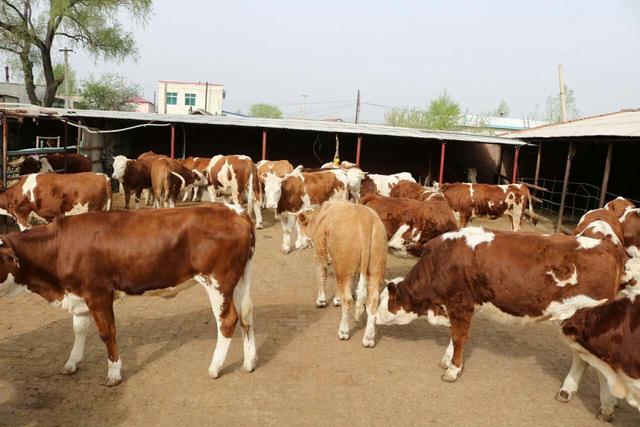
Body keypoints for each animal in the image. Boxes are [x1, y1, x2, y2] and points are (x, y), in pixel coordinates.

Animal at [0, 202, 258, 386]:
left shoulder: (98, 293)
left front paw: (114, 373)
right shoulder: (78, 294)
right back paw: (249, 362)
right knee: (246, 316)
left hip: (217, 281)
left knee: (227, 320)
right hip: (240, 279)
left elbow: (107, 333)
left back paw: (215, 367)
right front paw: (72, 362)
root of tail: (235, 211)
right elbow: (78, 329)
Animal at [298, 201, 388, 348]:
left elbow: (322, 276)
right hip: (375, 265)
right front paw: (336, 299)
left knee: (348, 299)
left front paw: (321, 300)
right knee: (373, 301)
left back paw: (343, 332)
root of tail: (365, 217)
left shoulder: (320, 254)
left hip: (344, 263)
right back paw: (368, 338)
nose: (298, 244)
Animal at [376, 227, 624, 384]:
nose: (375, 318)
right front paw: (447, 360)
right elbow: (453, 335)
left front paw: (453, 369)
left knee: (588, 360)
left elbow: (458, 337)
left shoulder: (461, 303)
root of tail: (608, 247)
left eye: (384, 300)